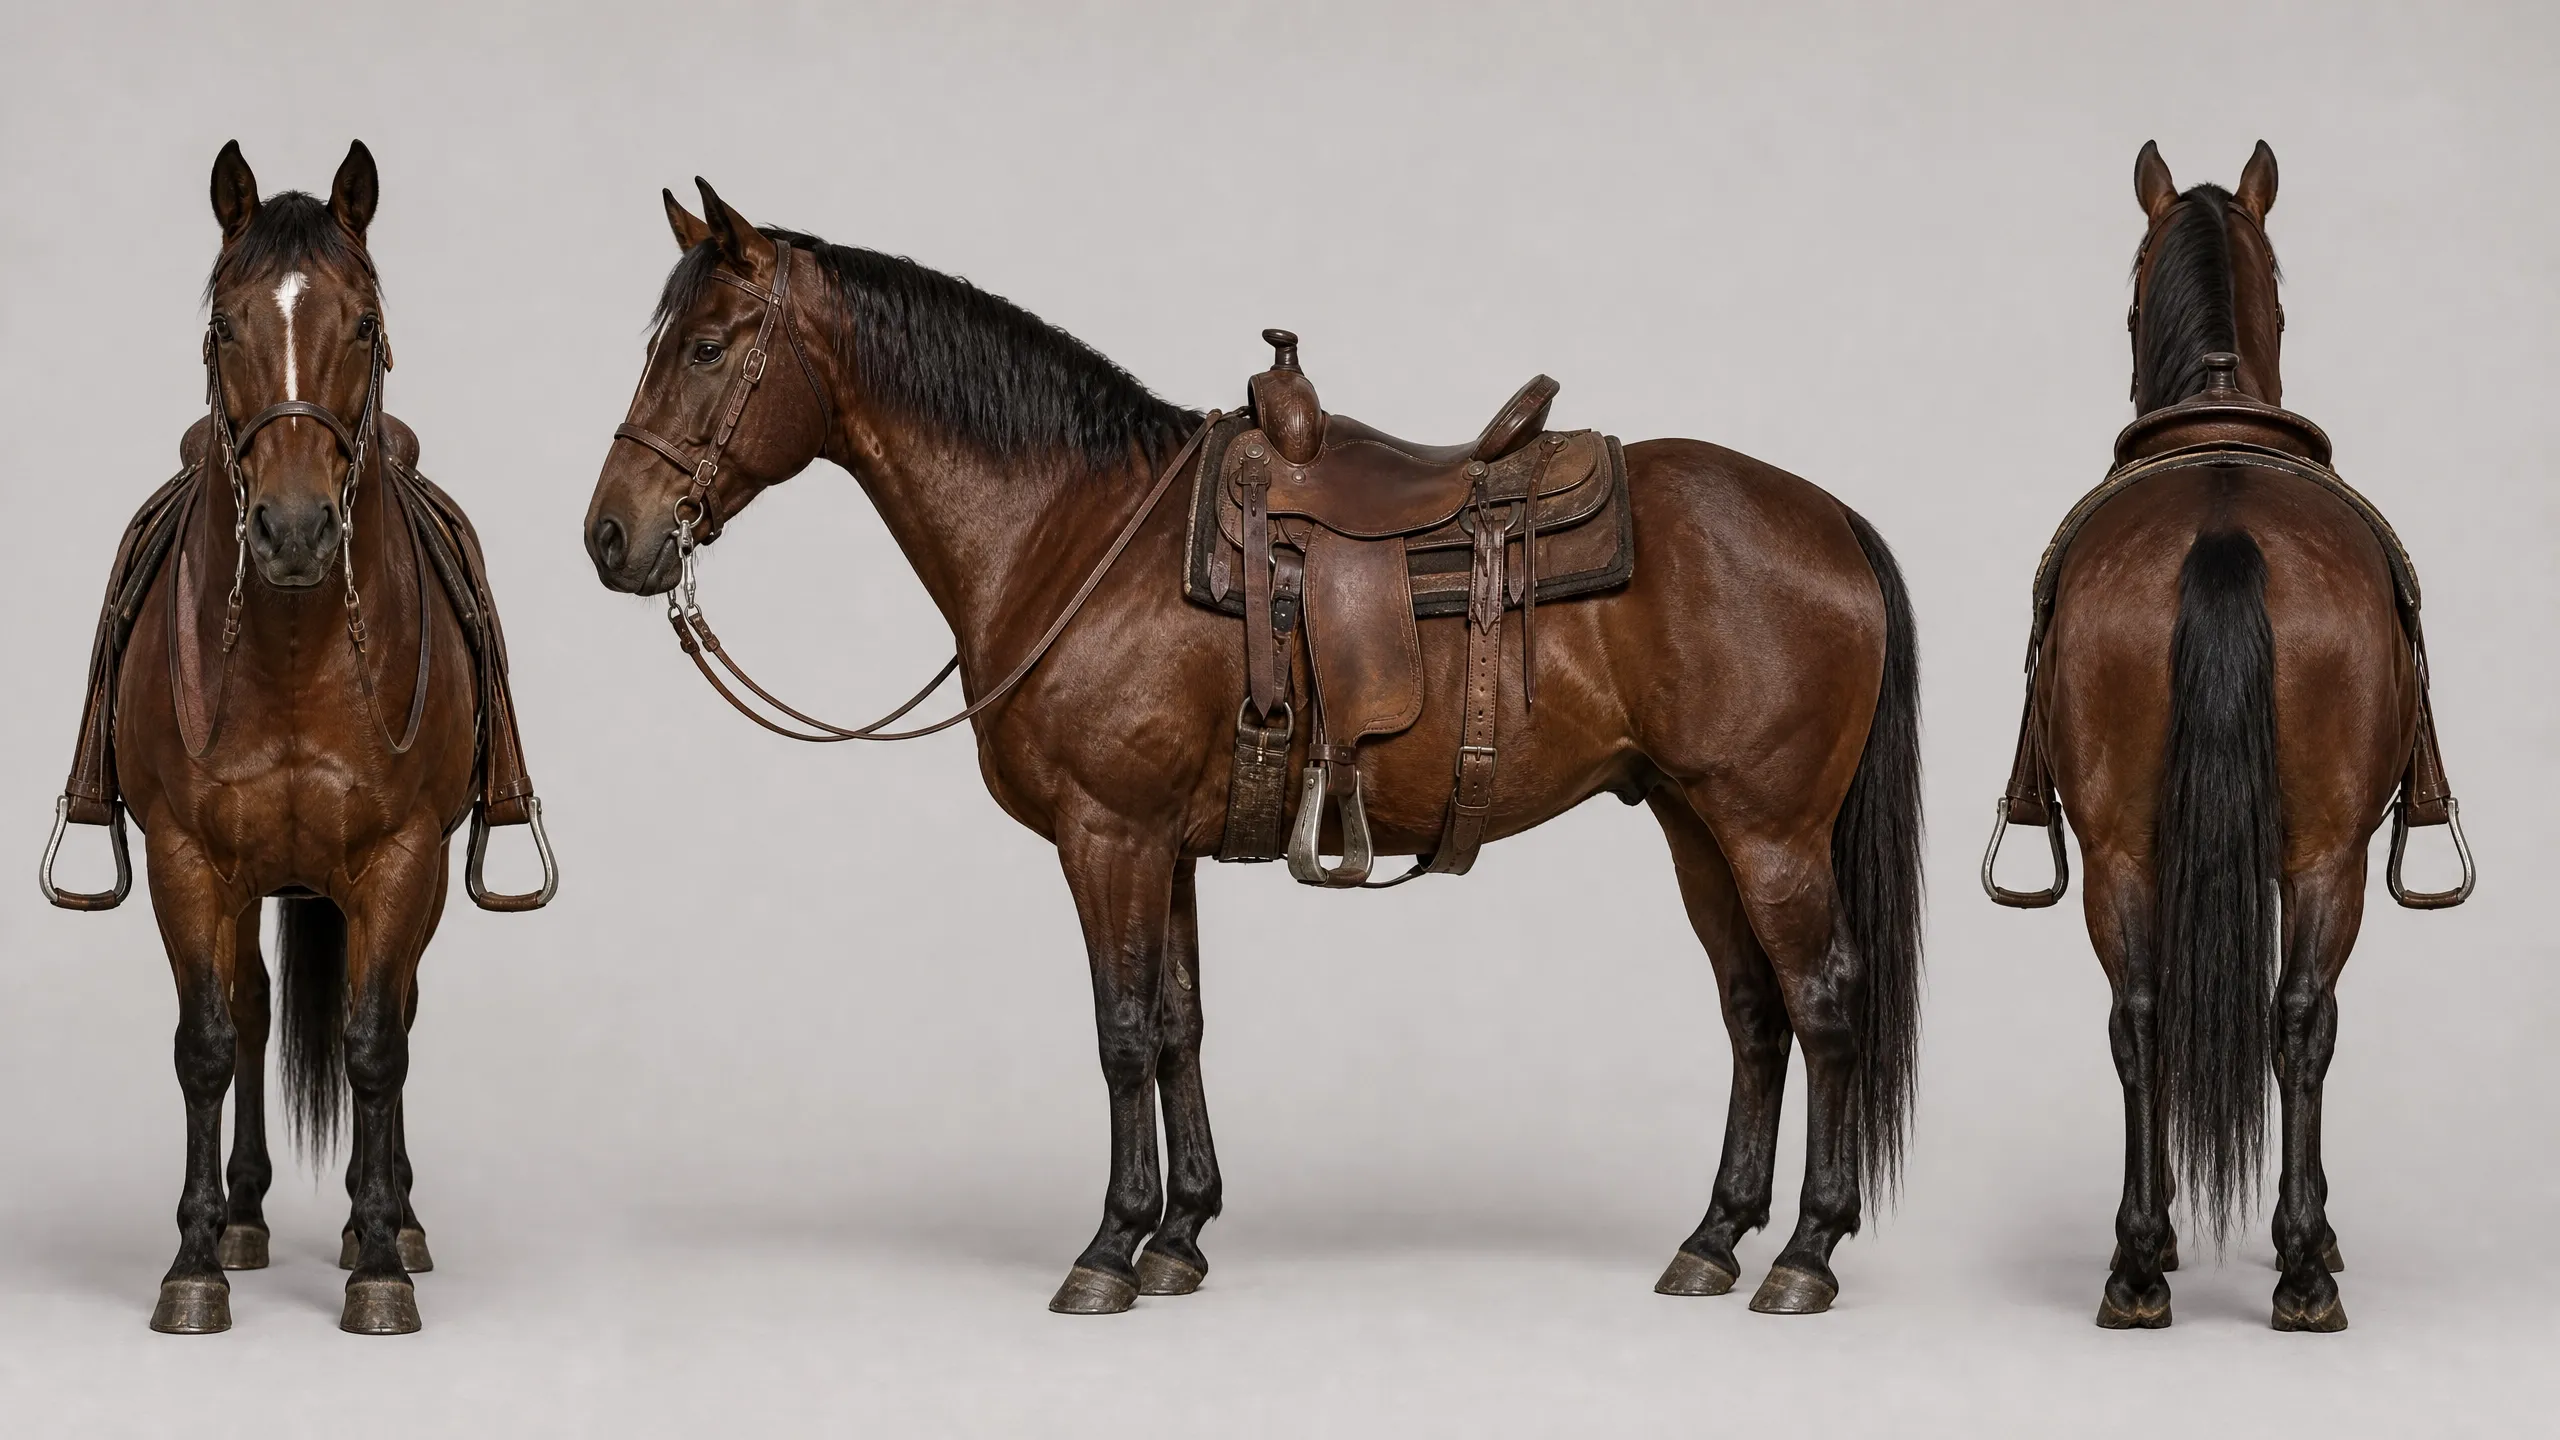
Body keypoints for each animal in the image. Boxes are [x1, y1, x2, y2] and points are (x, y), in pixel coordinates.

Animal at [44, 141, 547, 1335]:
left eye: (363, 322)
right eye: (224, 324)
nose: (294, 529)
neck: (292, 652)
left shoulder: (400, 862)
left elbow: (374, 1045)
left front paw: (378, 1264)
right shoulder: (187, 862)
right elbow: (210, 1043)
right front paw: (193, 1264)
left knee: (393, 1014)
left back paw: (393, 1218)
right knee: (257, 1013)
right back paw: (243, 1215)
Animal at [583, 180, 1923, 1315]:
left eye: (706, 349)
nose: (609, 536)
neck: (1074, 533)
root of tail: (1829, 520)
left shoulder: (1107, 836)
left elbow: (1120, 1031)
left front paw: (1106, 1249)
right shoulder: (1160, 846)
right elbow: (1179, 1022)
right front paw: (1178, 1237)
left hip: (1769, 831)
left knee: (1822, 1004)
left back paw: (1804, 1255)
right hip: (1697, 825)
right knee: (1752, 1015)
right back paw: (1712, 1240)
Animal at [1987, 141, 2462, 1333]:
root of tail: (2221, 525)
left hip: (2133, 848)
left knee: (2150, 1015)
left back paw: (2142, 1263)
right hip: (2320, 856)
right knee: (2295, 1019)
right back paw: (2287, 1263)